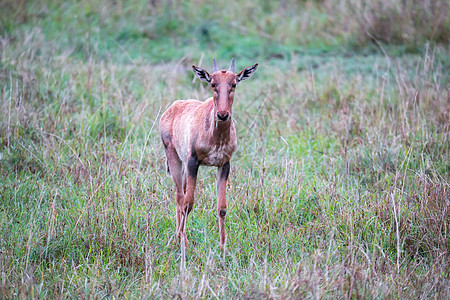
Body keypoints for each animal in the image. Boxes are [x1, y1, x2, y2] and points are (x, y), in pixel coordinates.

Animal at [159, 57, 256, 250]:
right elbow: (188, 204)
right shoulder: (193, 162)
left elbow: (222, 207)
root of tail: (172, 107)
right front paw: (183, 243)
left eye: (234, 84)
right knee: (180, 197)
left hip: (183, 164)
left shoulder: (224, 164)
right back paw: (179, 238)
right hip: (174, 157)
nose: (222, 115)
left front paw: (223, 246)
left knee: (180, 195)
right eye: (212, 83)